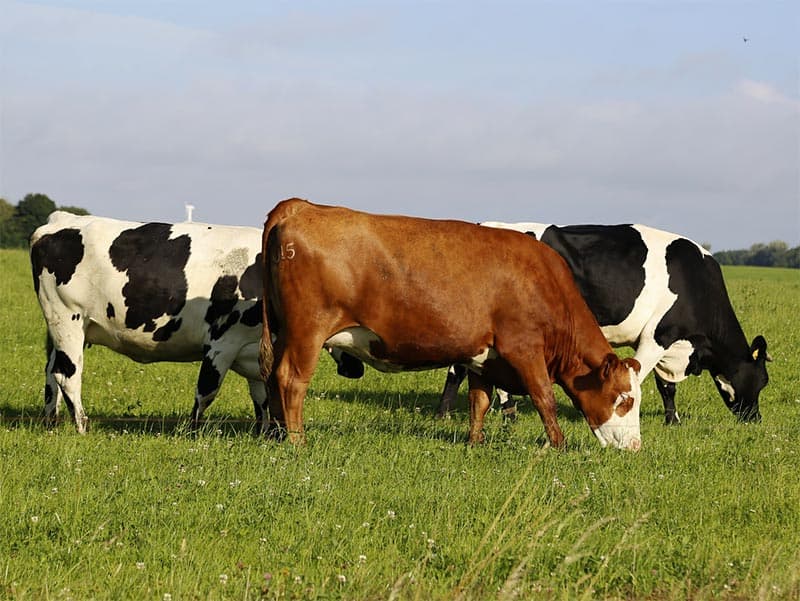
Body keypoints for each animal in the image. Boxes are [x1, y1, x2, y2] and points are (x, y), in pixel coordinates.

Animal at [29, 211, 363, 433]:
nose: (356, 370)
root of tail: (62, 219)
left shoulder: (254, 349)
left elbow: (262, 396)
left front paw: (264, 433)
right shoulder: (223, 341)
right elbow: (207, 390)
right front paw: (192, 432)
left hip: (67, 329)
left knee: (50, 373)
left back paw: (51, 422)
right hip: (68, 319)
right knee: (67, 375)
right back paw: (81, 426)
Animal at [258, 198, 643, 451]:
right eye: (624, 398)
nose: (635, 445)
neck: (543, 281)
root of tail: (302, 206)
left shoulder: (483, 356)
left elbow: (479, 401)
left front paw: (475, 442)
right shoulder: (524, 347)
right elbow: (544, 397)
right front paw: (558, 445)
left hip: (283, 331)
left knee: (272, 376)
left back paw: (275, 433)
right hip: (308, 330)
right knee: (291, 380)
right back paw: (297, 441)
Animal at [438, 222, 770, 425]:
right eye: (763, 380)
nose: (755, 419)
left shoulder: (664, 340)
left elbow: (666, 387)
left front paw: (671, 421)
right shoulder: (658, 336)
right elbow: (639, 378)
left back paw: (503, 413)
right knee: (458, 369)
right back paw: (451, 413)